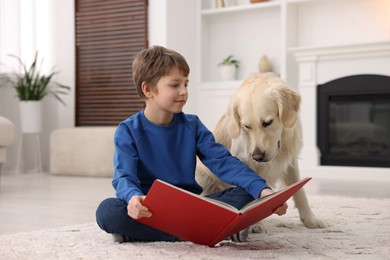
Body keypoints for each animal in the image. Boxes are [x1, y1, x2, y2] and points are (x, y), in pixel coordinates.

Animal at [197, 72, 328, 232]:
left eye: (268, 122)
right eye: (246, 126)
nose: (257, 156)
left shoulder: (290, 160)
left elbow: (300, 192)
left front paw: (310, 219)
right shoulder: (244, 160)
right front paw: (255, 223)